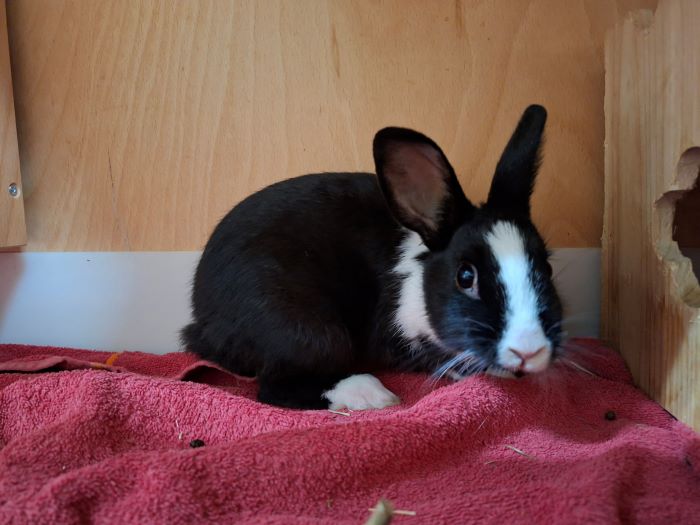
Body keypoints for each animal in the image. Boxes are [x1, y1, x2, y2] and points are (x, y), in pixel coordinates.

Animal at [181, 104, 563, 410]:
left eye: (547, 268)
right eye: (465, 276)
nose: (528, 351)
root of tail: (201, 320)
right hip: (309, 329)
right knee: (276, 387)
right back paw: (369, 394)